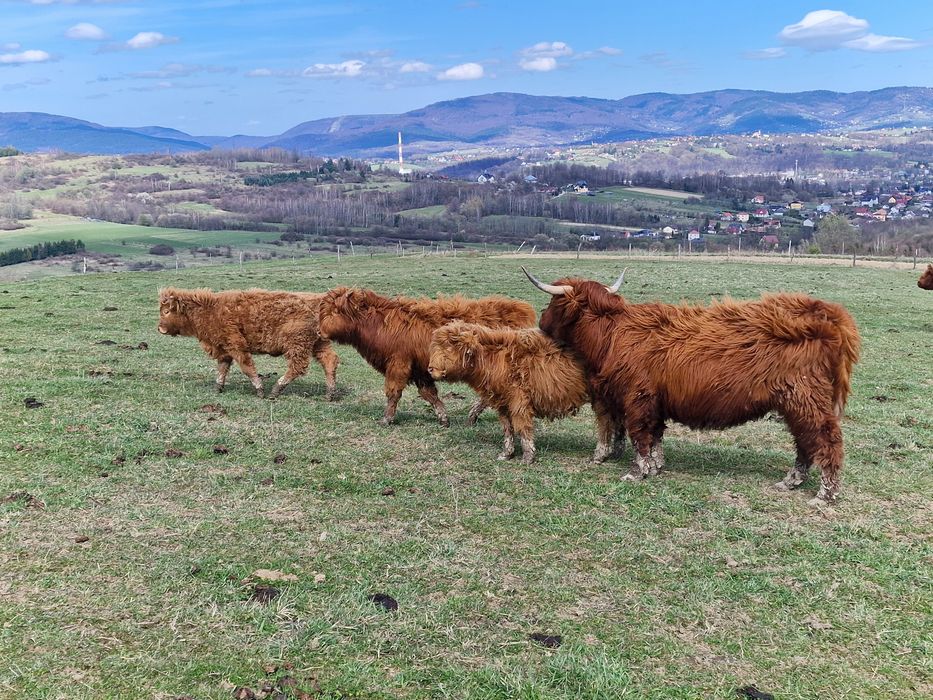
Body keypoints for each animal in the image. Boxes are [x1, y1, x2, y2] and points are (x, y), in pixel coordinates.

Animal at [158, 287, 339, 400]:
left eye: (166, 311)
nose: (160, 328)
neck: (211, 309)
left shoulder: (236, 345)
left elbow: (247, 367)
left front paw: (259, 389)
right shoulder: (223, 349)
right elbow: (222, 369)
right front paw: (218, 388)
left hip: (297, 344)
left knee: (297, 367)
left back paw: (276, 390)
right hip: (318, 344)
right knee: (330, 361)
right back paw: (329, 393)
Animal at [317, 287, 536, 426]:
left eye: (334, 311)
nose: (319, 331)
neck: (379, 324)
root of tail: (520, 311)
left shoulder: (398, 364)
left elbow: (393, 392)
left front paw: (386, 419)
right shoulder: (420, 371)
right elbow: (430, 394)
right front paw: (443, 418)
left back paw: (473, 415)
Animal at [428, 321, 621, 463]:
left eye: (449, 347)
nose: (430, 369)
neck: (494, 359)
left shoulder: (518, 401)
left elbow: (522, 426)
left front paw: (528, 457)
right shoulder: (502, 402)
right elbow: (507, 428)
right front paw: (507, 454)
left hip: (602, 399)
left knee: (605, 423)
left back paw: (600, 455)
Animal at [523, 267, 861, 505]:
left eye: (552, 301)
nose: (541, 323)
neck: (612, 334)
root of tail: (826, 312)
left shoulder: (638, 397)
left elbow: (639, 434)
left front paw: (636, 472)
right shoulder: (654, 401)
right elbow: (655, 436)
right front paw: (656, 467)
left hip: (805, 398)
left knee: (826, 440)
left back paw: (825, 494)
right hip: (796, 402)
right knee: (805, 441)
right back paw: (791, 481)